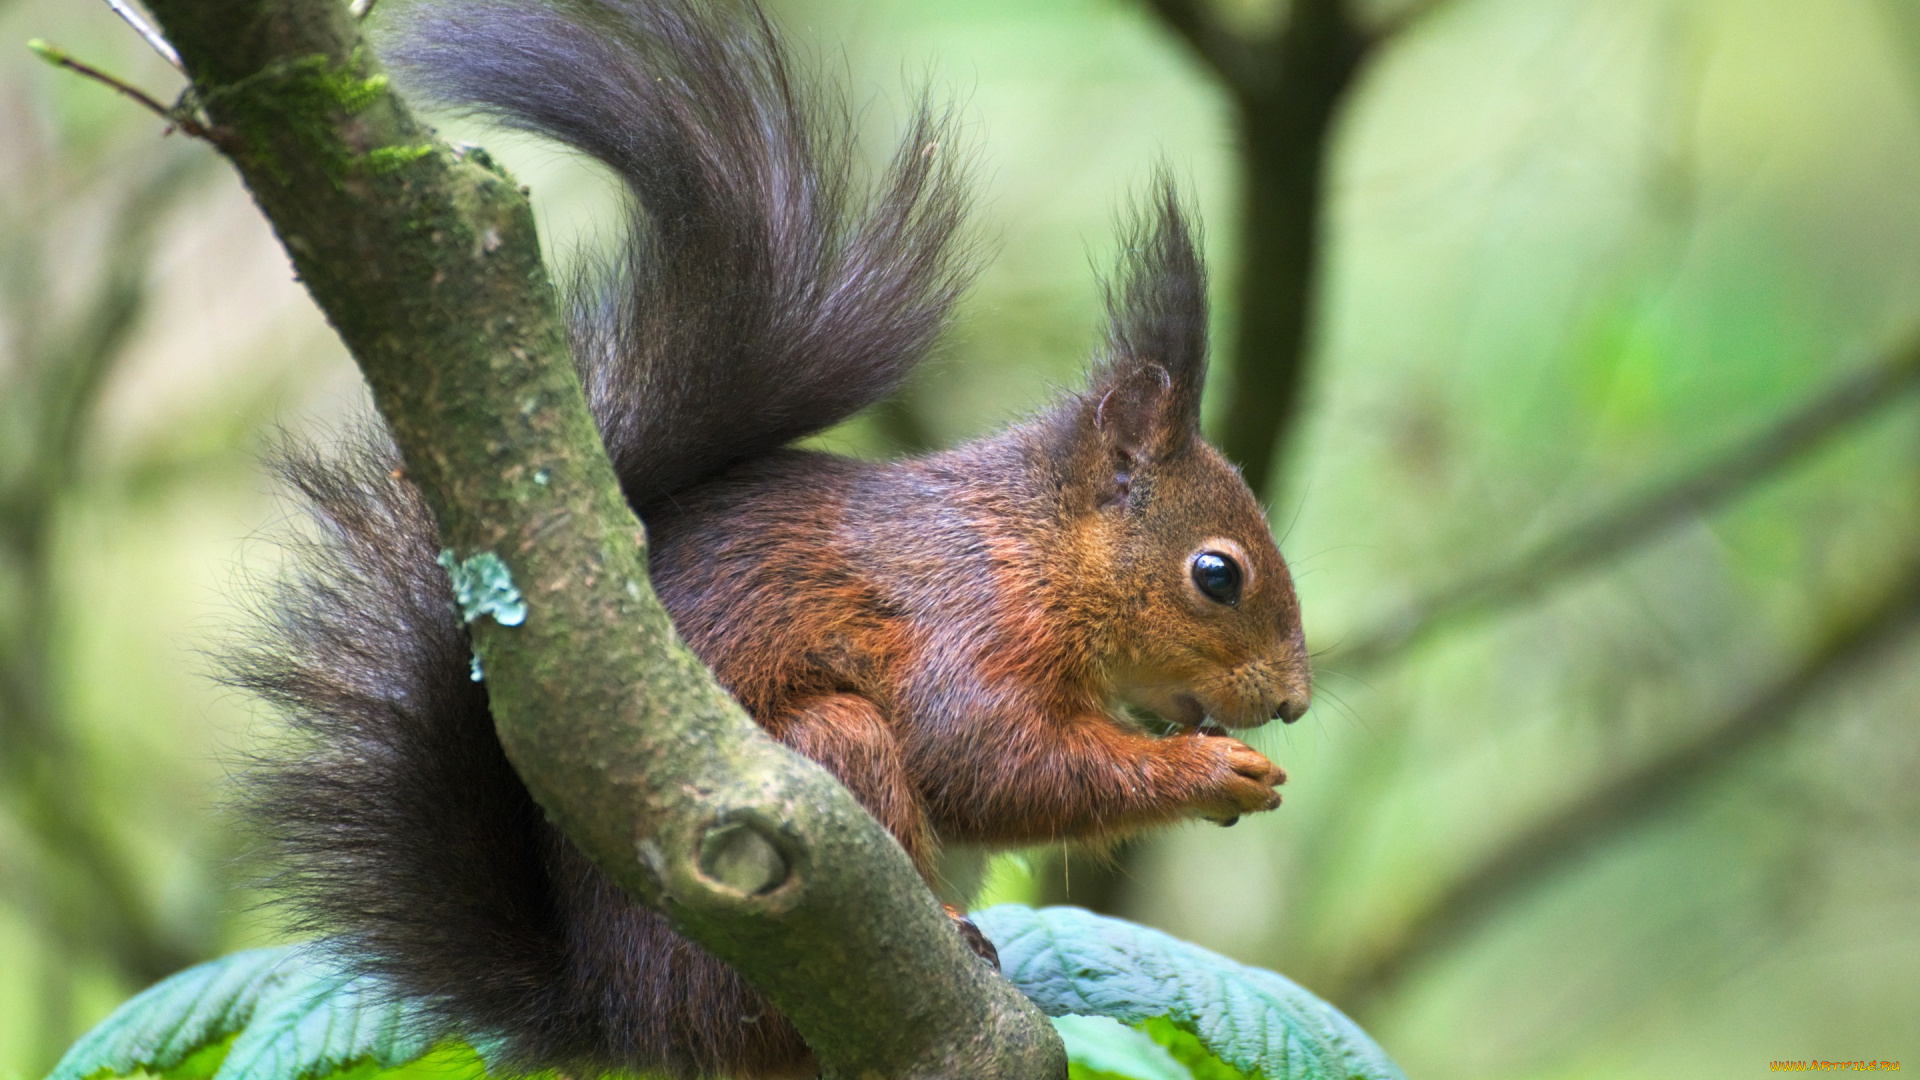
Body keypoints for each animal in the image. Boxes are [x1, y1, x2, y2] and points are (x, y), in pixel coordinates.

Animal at [220, 2, 1305, 1076]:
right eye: (1216, 574)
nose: (1292, 703)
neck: (1031, 547)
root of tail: (625, 1017)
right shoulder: (966, 624)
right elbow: (992, 760)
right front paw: (1214, 772)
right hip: (811, 790)